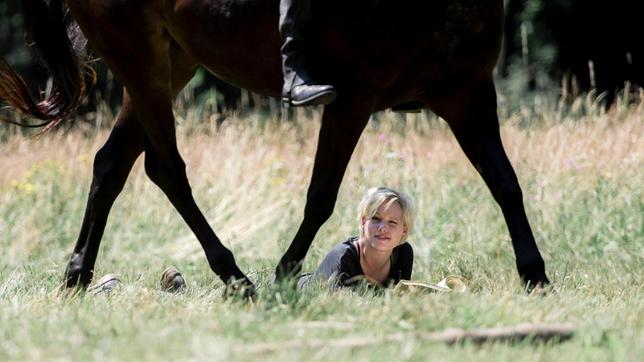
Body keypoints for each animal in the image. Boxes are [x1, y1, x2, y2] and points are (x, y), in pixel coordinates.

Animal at [1, 0, 548, 292]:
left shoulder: (468, 93)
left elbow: (506, 184)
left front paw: (535, 275)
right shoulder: (353, 99)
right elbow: (321, 195)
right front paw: (286, 273)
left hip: (168, 61)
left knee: (113, 164)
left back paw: (77, 277)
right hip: (140, 57)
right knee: (167, 168)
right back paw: (236, 278)